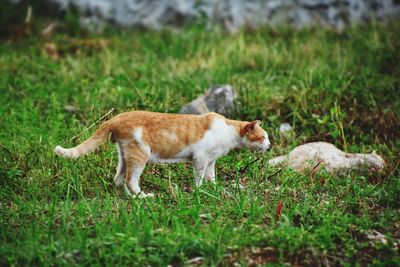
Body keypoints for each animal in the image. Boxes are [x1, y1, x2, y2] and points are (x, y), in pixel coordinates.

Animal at [54, 110, 270, 197]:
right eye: (262, 137)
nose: (269, 146)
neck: (228, 131)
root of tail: (116, 118)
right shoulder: (200, 158)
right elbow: (199, 178)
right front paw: (200, 191)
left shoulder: (210, 161)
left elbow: (211, 177)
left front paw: (216, 188)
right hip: (140, 154)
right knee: (130, 180)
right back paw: (143, 196)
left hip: (124, 155)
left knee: (118, 179)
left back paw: (132, 198)